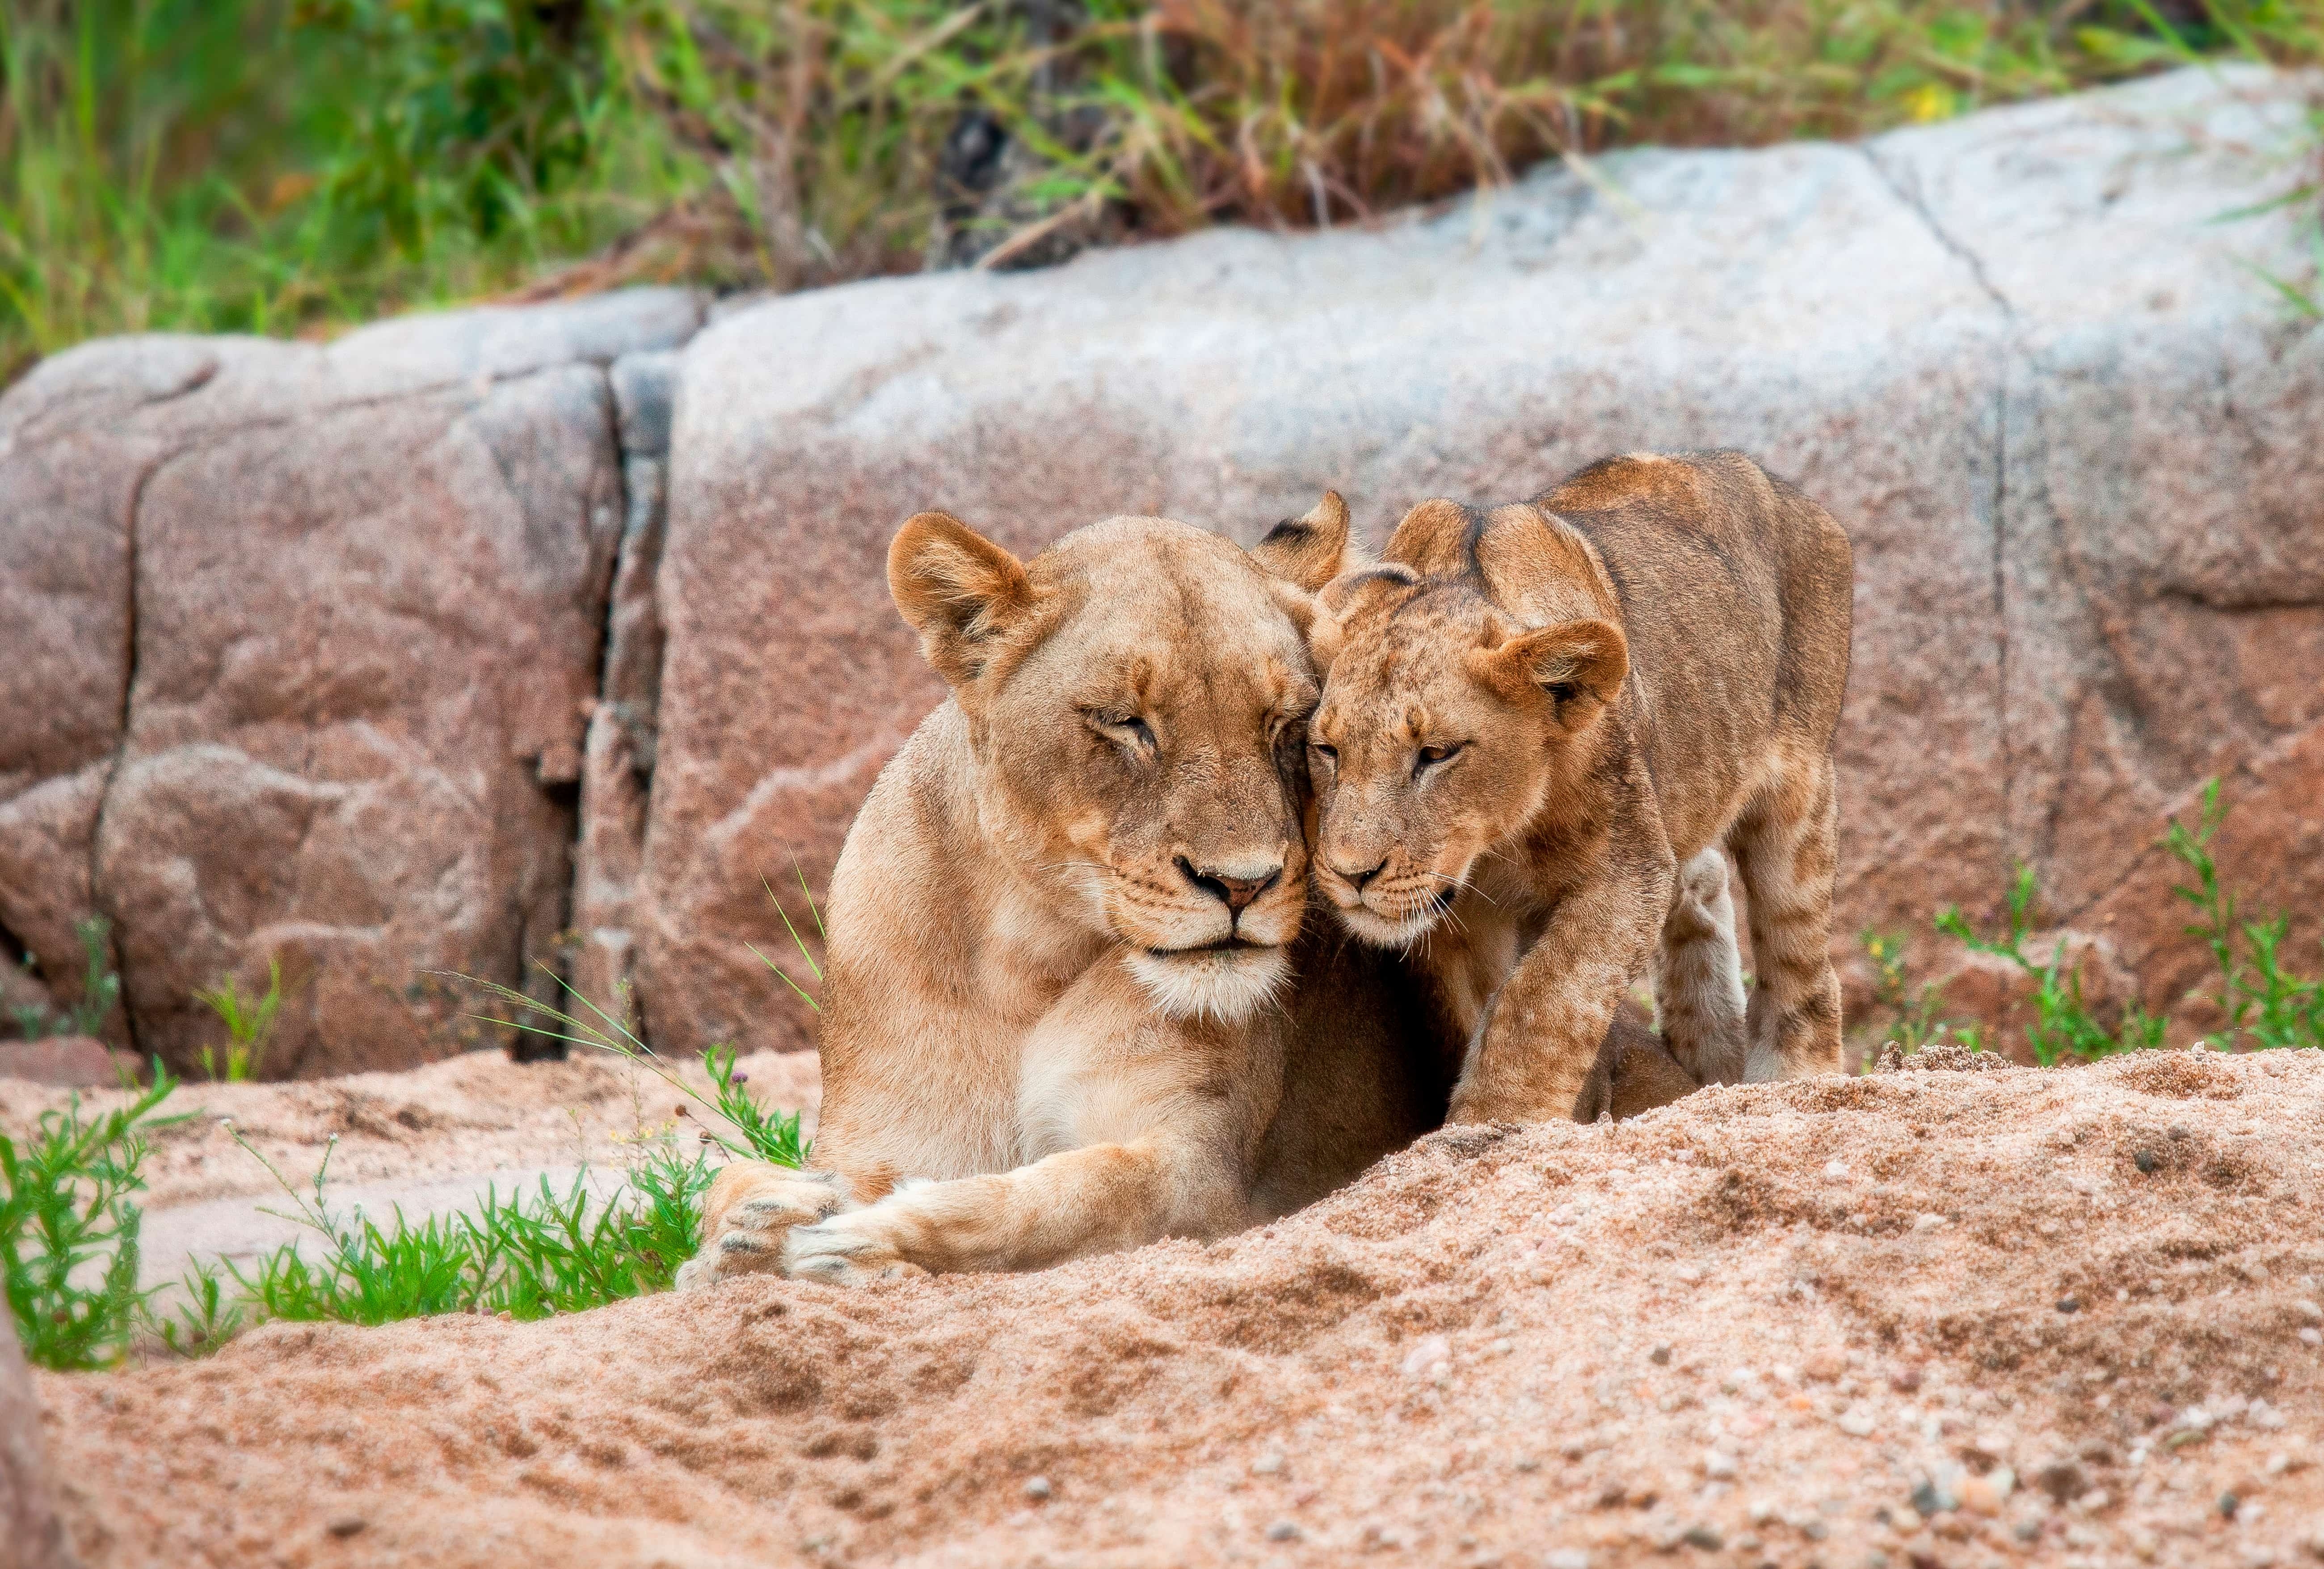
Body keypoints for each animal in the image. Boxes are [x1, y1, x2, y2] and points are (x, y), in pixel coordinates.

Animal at [678, 497, 1735, 1289]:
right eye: (1124, 723)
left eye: (1286, 723)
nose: (1243, 883)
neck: (1029, 954)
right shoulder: (885, 1127)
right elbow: (737, 1190)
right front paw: (762, 1221)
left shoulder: (1201, 1175)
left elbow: (1056, 1197)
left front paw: (852, 1233)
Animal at [1303, 450, 1852, 1124]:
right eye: (1327, 750)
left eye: (1435, 754)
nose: (1351, 875)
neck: (1495, 840)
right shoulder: (1464, 920)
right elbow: (1489, 1012)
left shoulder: (1627, 871)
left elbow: (1540, 1004)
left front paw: (1491, 1125)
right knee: (1702, 878)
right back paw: (1709, 1063)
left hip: (1798, 786)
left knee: (1800, 953)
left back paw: (1791, 1080)